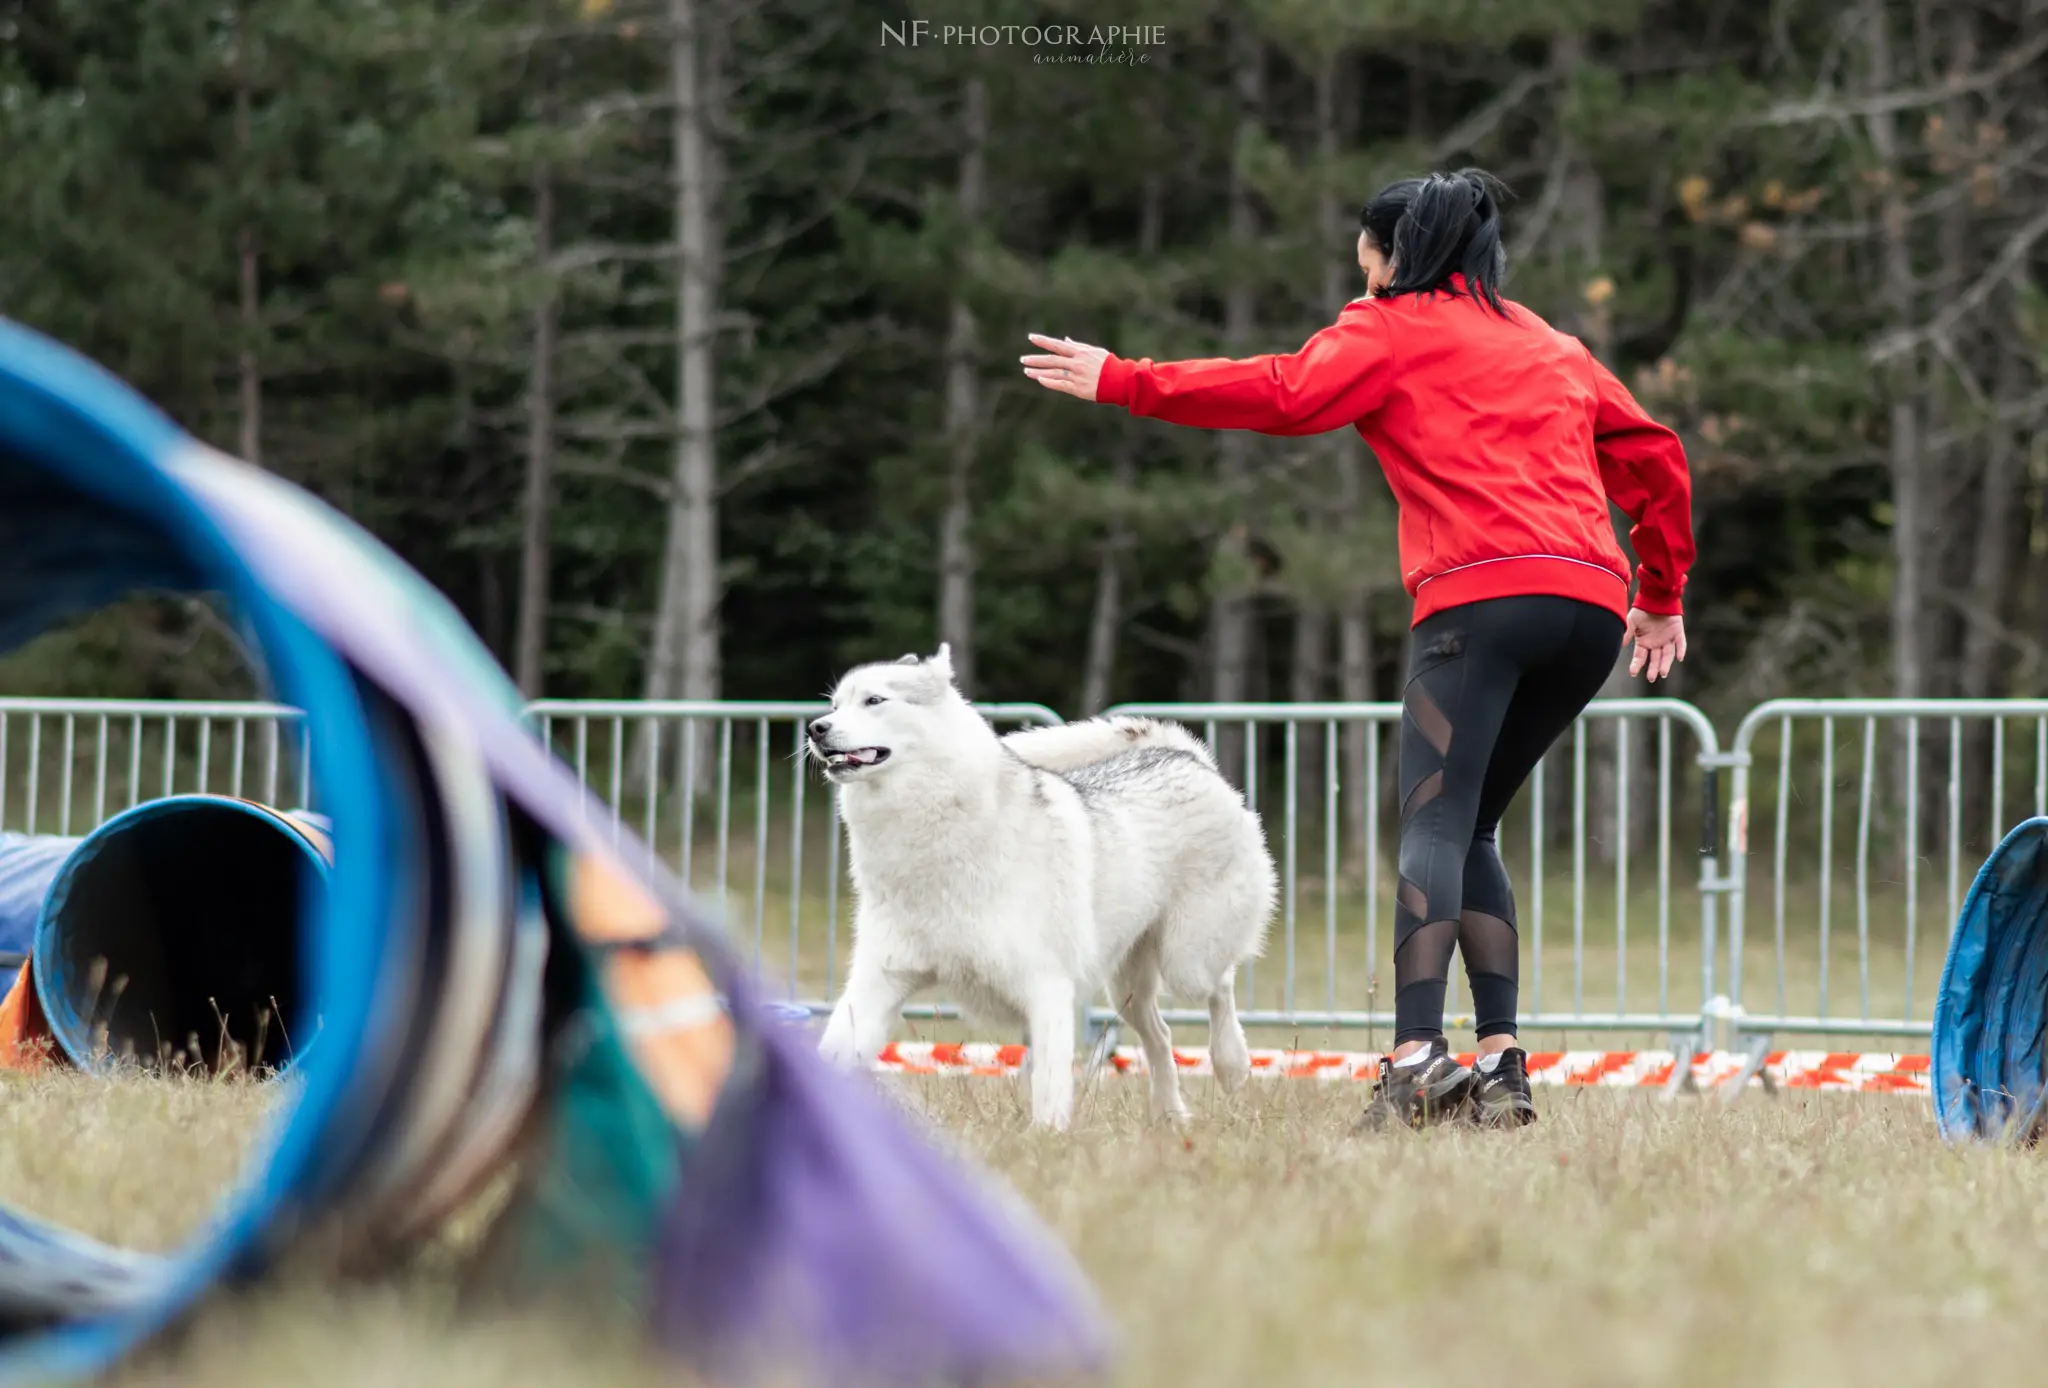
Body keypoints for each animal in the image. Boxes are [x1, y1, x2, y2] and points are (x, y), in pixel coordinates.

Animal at [806, 646, 1269, 1138]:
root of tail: (1184, 756)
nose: (815, 729)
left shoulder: (1045, 986)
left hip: (1187, 963)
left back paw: (1232, 1066)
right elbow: (835, 1050)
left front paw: (1047, 1137)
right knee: (1160, 1037)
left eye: (874, 700)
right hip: (1127, 987)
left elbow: (1048, 1080)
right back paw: (1171, 1116)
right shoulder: (880, 979)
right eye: (834, 705)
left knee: (1221, 989)